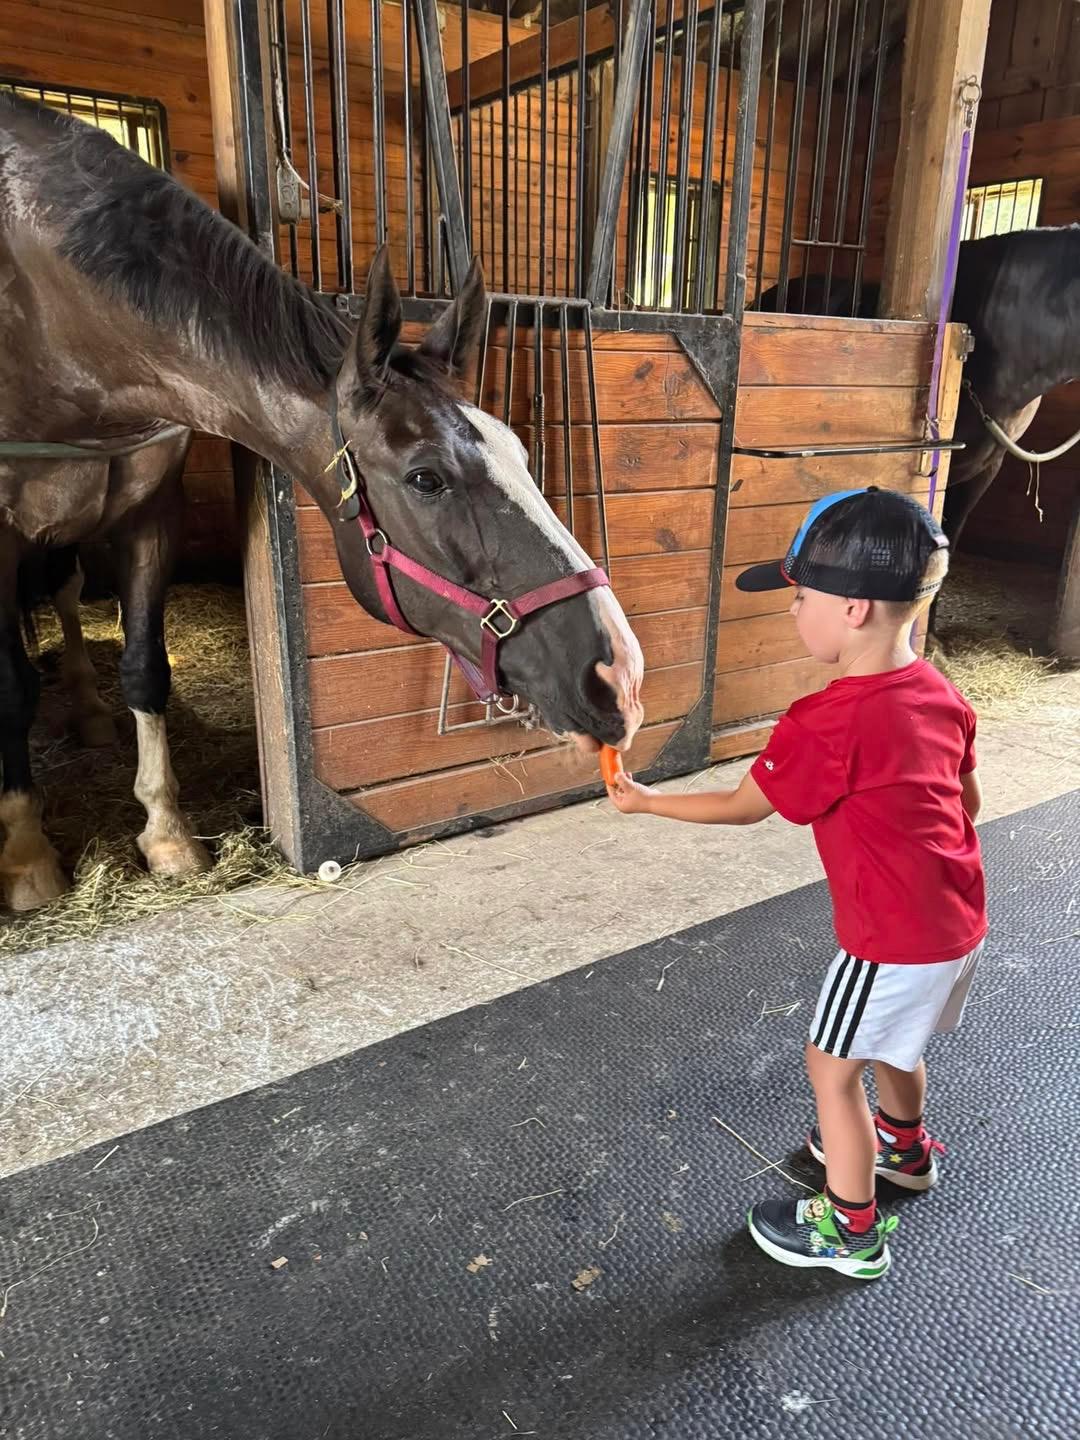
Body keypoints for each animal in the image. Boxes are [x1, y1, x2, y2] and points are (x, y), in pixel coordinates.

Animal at [0, 92, 643, 912]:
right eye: (425, 478)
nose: (620, 674)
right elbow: (14, 689)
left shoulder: (152, 509)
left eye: (521, 454)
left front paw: (169, 836)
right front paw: (27, 856)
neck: (47, 311)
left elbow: (146, 667)